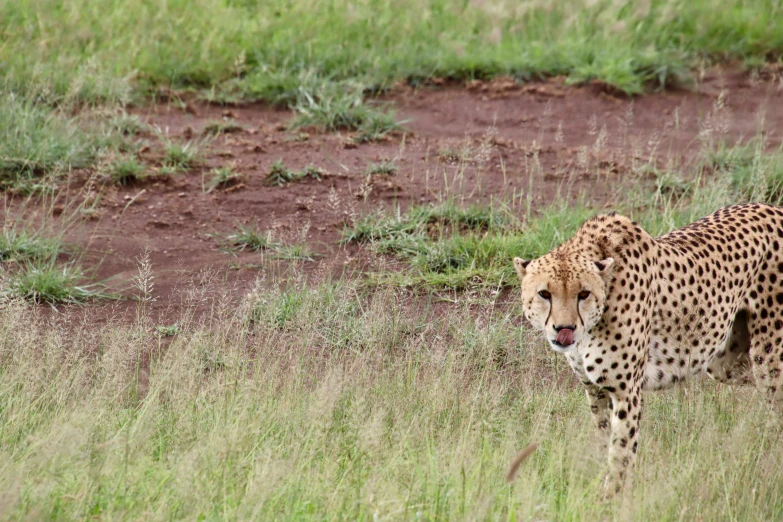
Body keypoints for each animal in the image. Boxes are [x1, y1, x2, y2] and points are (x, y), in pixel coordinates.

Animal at [512, 201, 783, 494]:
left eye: (583, 294)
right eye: (544, 294)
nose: (565, 329)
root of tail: (770, 207)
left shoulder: (626, 391)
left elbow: (620, 454)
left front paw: (610, 497)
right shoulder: (595, 389)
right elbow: (604, 442)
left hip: (768, 359)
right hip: (725, 361)